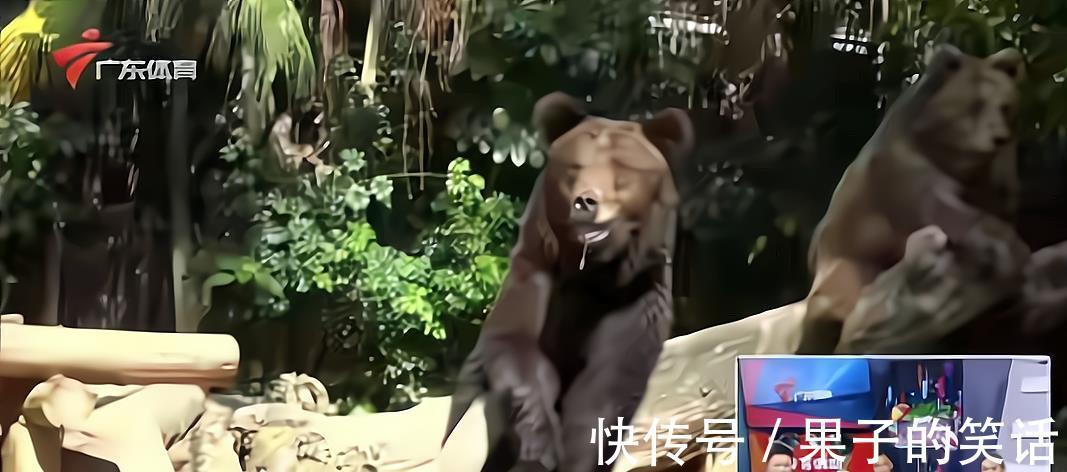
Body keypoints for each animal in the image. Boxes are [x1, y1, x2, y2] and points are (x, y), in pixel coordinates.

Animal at [442, 92, 694, 472]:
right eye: (575, 168)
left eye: (622, 174)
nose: (586, 201)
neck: (593, 274)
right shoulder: (536, 272)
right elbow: (515, 348)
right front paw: (541, 443)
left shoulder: (637, 297)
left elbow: (605, 390)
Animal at [797, 44, 1032, 354]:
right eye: (976, 104)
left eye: (1005, 106)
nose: (999, 137)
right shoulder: (901, 170)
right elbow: (938, 208)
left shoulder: (990, 175)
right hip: (846, 262)